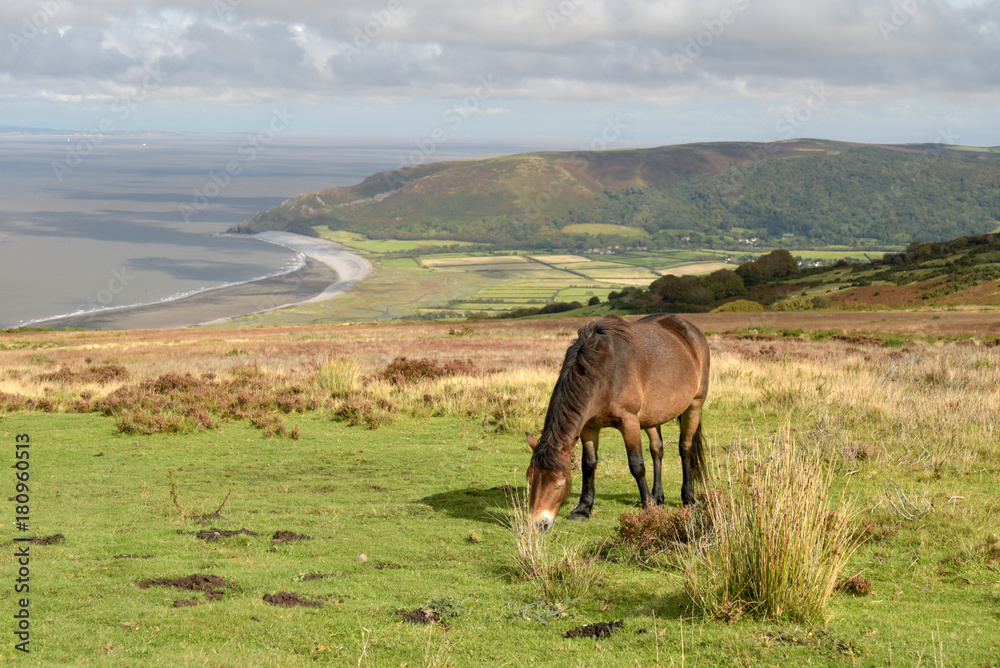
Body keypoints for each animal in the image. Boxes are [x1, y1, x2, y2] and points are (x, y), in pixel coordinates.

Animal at [524, 314, 712, 532]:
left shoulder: (629, 422)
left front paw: (647, 505)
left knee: (685, 449)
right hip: (652, 416)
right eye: (530, 479)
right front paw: (583, 509)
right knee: (657, 450)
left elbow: (637, 465)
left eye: (559, 484)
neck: (603, 372)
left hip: (694, 406)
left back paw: (687, 497)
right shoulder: (589, 427)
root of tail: (690, 329)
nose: (539, 524)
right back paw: (658, 495)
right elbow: (588, 465)